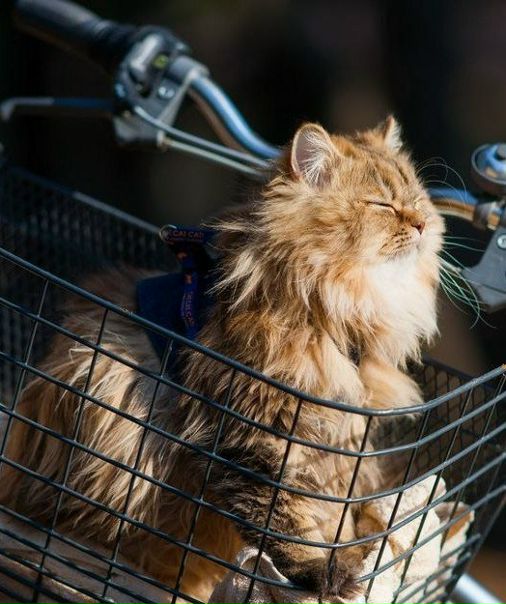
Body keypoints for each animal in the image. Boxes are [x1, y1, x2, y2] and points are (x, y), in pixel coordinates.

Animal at [1, 117, 444, 603]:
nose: (422, 223)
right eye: (382, 204)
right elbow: (284, 518)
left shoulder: (334, 444)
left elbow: (331, 515)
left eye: (416, 200)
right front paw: (324, 573)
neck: (330, 307)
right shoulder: (253, 432)